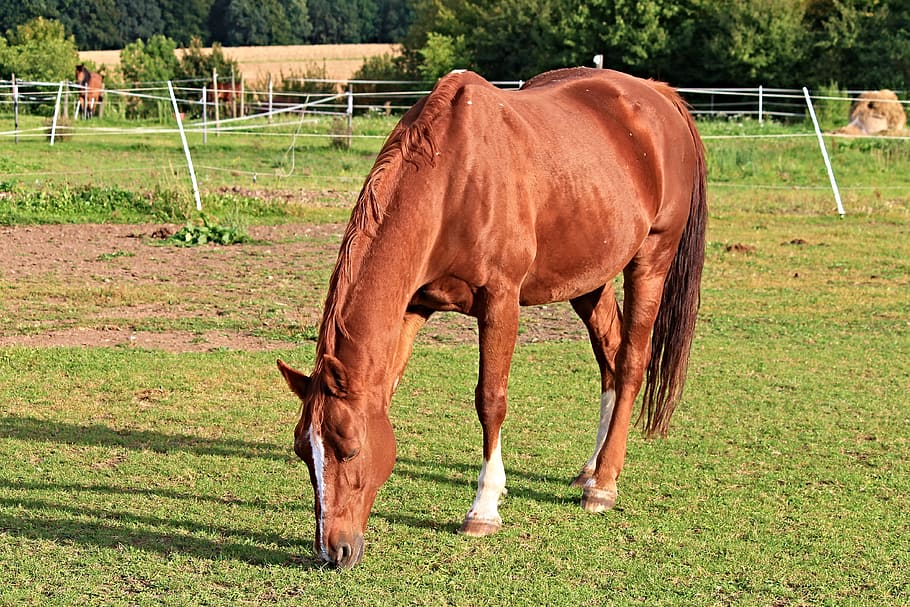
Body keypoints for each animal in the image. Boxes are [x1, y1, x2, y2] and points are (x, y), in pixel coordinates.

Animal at [278, 67, 707, 568]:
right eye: (303, 451)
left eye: (349, 448)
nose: (333, 550)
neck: (453, 179)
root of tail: (655, 93)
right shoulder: (414, 307)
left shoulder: (500, 301)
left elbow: (490, 400)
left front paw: (483, 508)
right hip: (589, 279)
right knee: (611, 357)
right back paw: (591, 468)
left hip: (651, 260)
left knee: (633, 361)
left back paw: (604, 484)